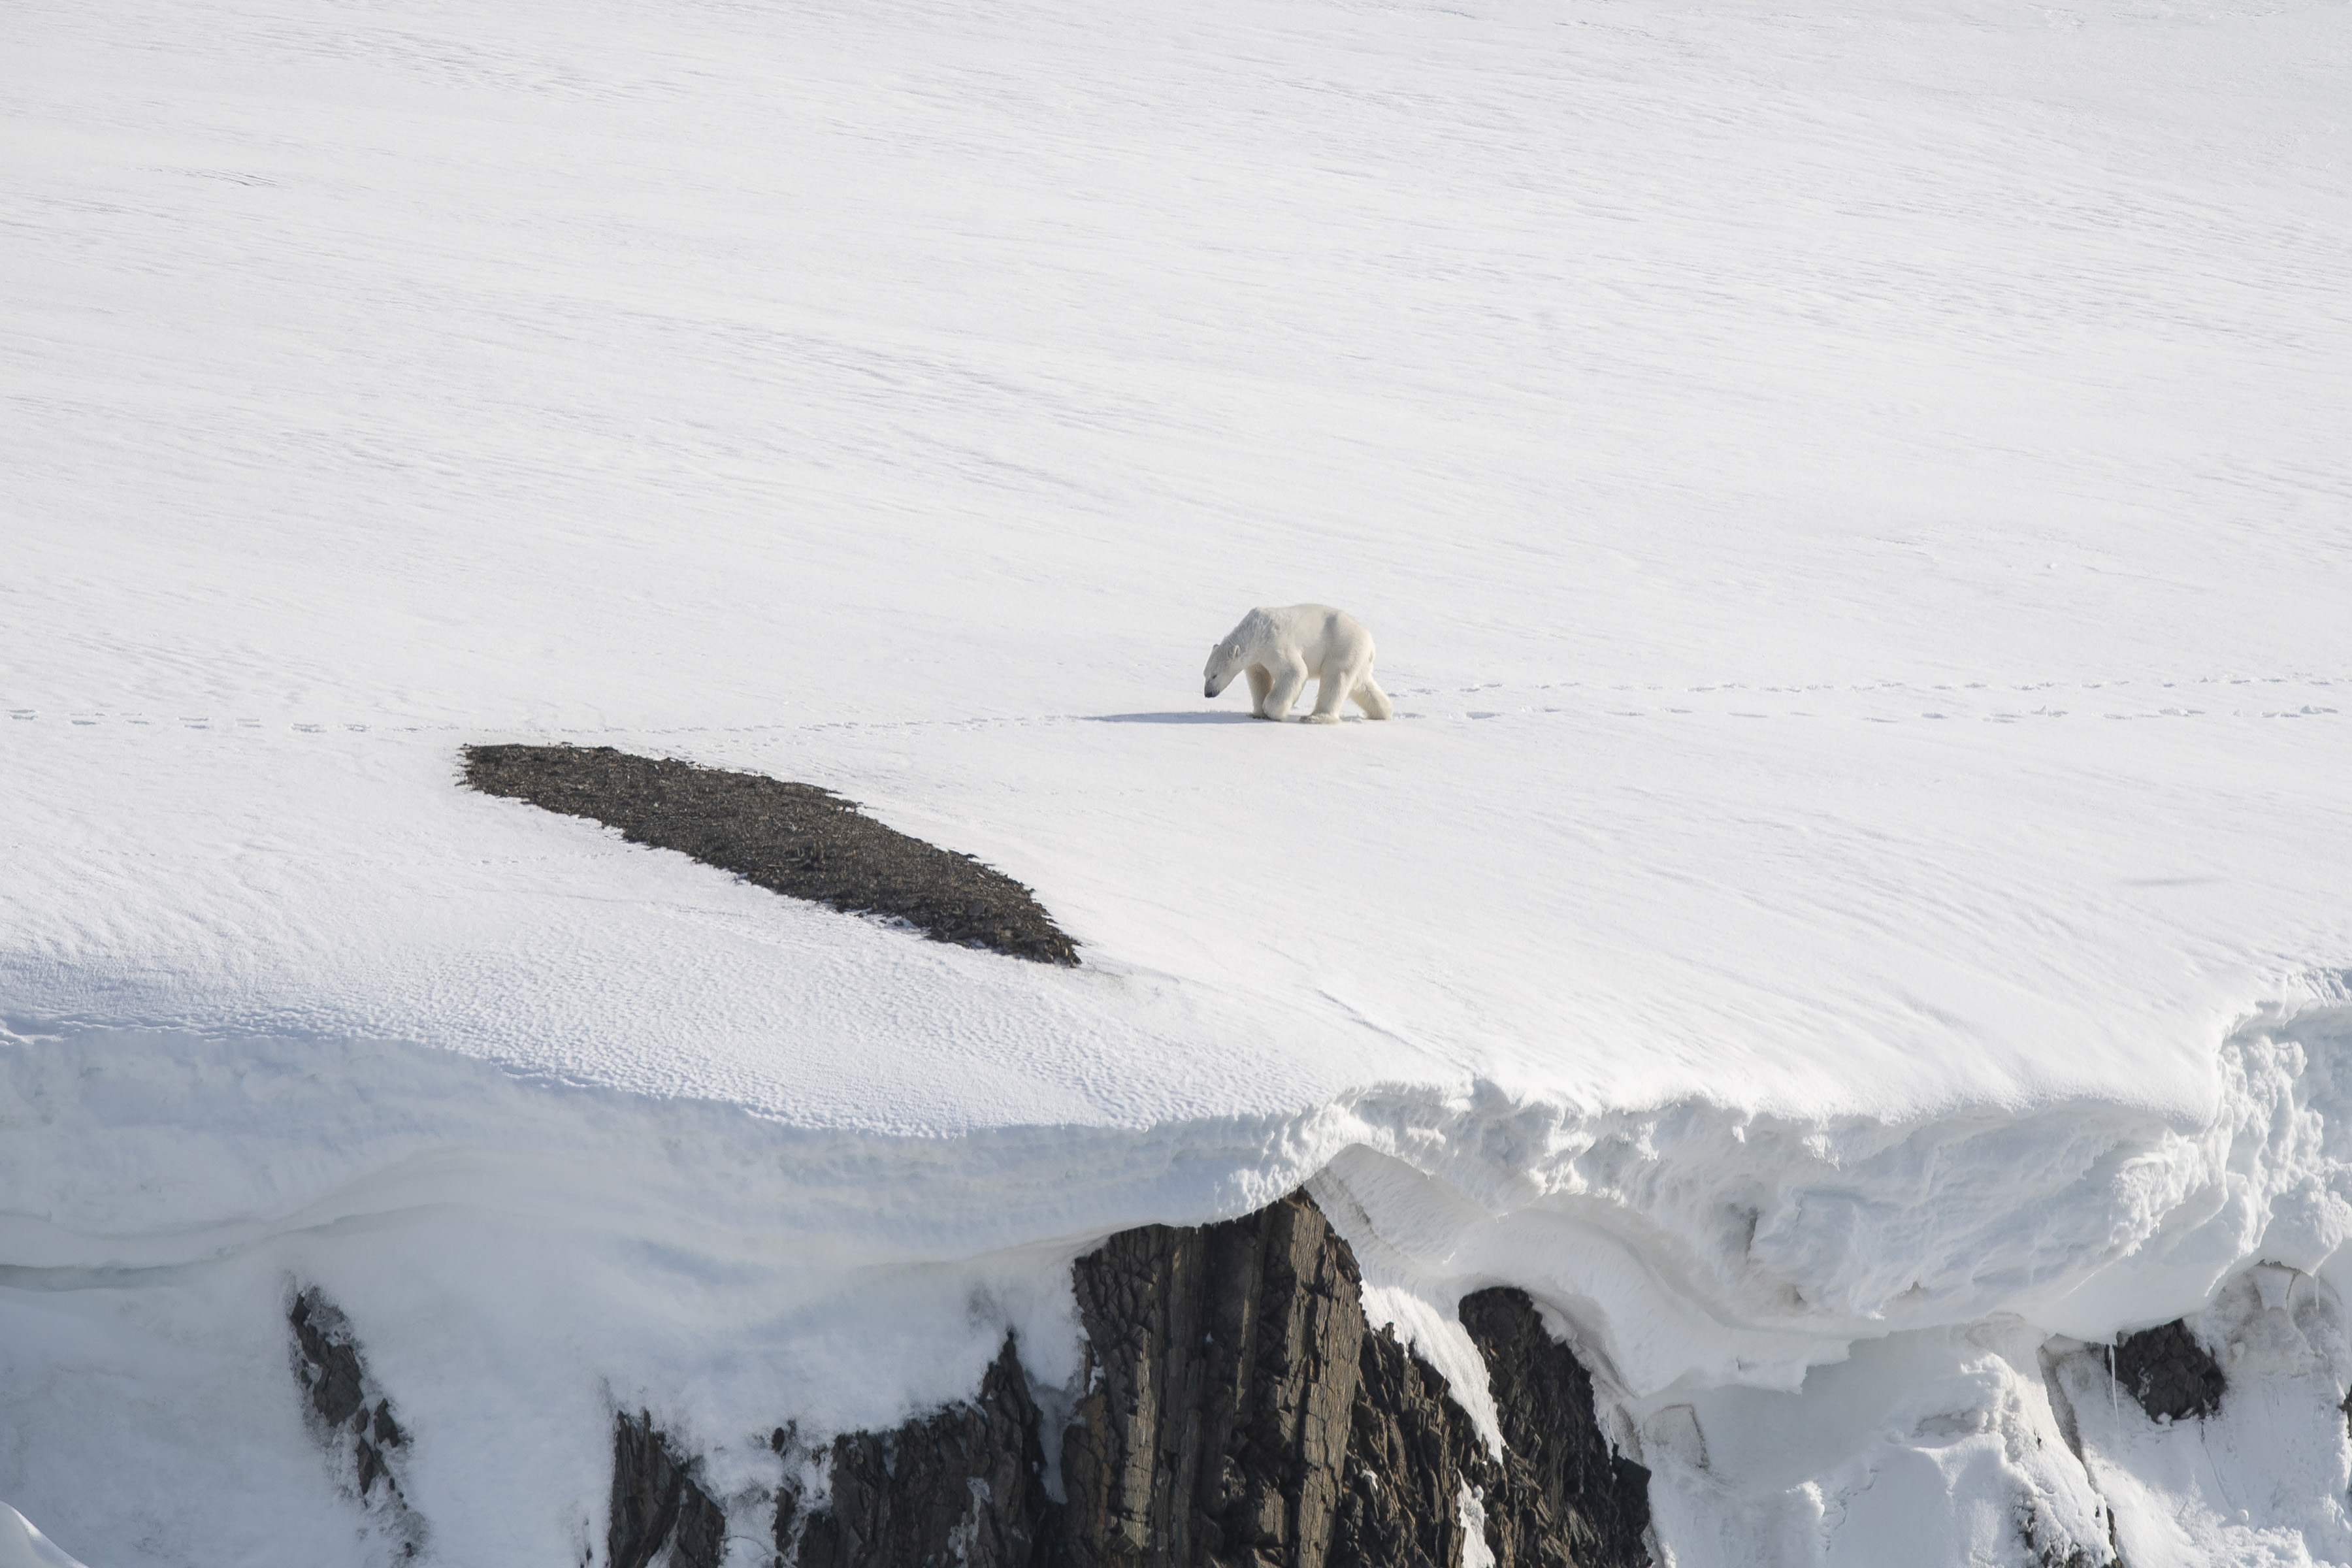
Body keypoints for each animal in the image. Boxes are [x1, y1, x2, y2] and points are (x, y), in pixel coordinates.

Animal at [1202, 604, 1394, 724]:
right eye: (1205, 675)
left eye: (1215, 675)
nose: (1208, 693)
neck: (1256, 631)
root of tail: (1370, 642)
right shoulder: (1257, 659)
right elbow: (1259, 678)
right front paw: (1257, 713)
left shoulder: (1276, 644)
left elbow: (1295, 671)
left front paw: (1273, 711)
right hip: (1357, 657)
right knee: (1361, 684)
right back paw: (1381, 712)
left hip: (1343, 645)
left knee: (1336, 678)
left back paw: (1315, 718)